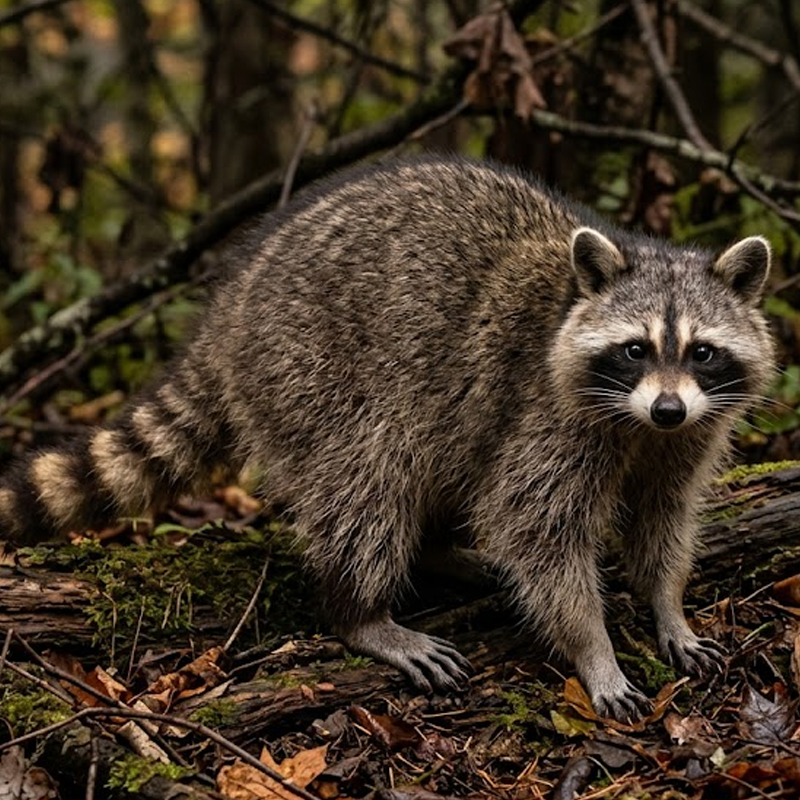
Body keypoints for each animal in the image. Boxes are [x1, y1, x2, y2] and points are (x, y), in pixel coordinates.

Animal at [0, 157, 774, 720]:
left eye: (702, 351)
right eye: (636, 349)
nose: (667, 409)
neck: (638, 423)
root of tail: (231, 302)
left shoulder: (692, 430)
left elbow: (663, 516)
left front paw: (668, 605)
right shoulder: (548, 413)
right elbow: (536, 528)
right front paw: (594, 648)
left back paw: (436, 551)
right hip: (307, 366)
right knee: (370, 475)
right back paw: (361, 612)